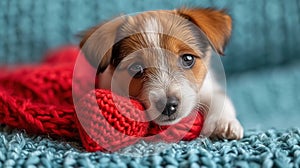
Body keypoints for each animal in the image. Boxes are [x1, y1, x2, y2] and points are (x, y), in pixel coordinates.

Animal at [79, 7, 244, 139]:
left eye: (188, 58)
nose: (168, 105)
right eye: (136, 68)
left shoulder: (207, 88)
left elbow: (220, 100)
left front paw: (223, 123)